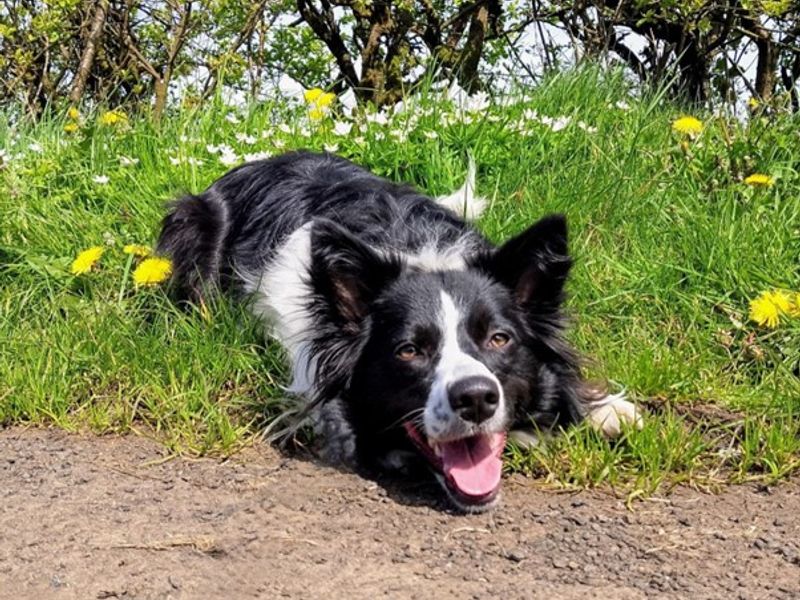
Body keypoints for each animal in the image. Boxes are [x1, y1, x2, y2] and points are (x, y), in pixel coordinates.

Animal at [159, 150, 640, 510]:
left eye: (499, 339)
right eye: (409, 350)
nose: (476, 398)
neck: (423, 259)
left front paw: (607, 410)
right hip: (191, 222)